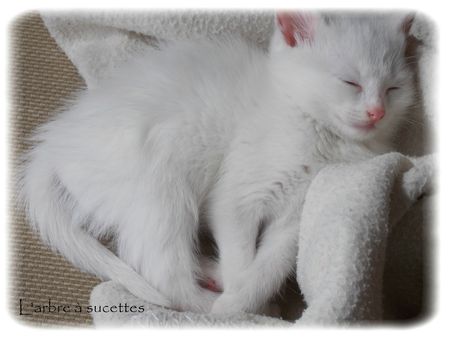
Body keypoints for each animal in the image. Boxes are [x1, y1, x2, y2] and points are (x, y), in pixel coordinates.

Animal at [19, 12, 416, 314]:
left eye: (393, 89)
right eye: (349, 82)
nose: (377, 112)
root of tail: (53, 145)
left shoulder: (296, 217)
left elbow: (271, 264)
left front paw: (249, 297)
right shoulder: (236, 196)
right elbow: (241, 255)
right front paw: (240, 307)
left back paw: (212, 273)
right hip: (160, 184)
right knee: (160, 272)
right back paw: (209, 303)